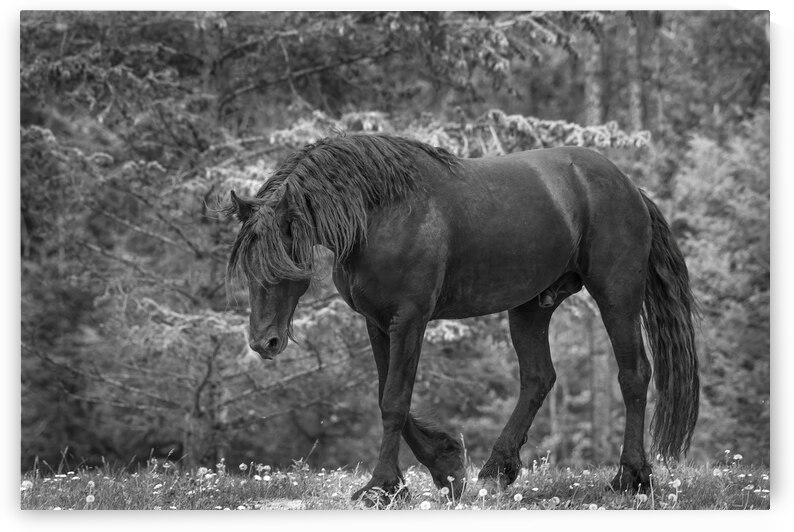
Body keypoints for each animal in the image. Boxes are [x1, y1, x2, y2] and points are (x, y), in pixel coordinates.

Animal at [224, 133, 699, 503]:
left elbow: (394, 400)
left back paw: (631, 478)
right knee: (538, 378)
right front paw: (446, 466)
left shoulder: (409, 320)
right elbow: (386, 395)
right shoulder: (377, 323)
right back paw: (497, 469)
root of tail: (629, 186)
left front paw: (383, 488)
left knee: (634, 375)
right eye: (247, 268)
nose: (264, 342)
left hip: (617, 296)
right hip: (531, 306)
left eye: (285, 266)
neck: (382, 213)